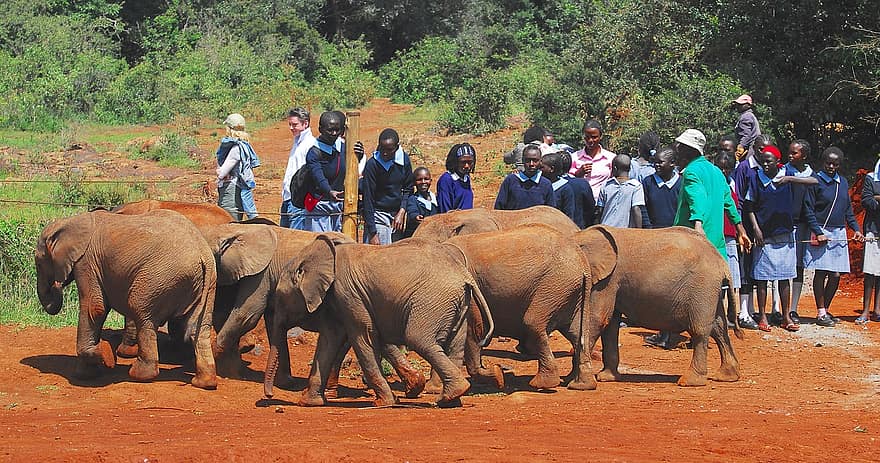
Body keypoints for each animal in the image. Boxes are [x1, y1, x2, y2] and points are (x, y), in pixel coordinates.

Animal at [36, 209, 218, 388]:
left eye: (38, 263)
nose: (57, 284)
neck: (70, 221)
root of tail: (202, 253)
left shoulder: (86, 262)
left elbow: (94, 308)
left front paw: (100, 361)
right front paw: (87, 372)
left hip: (161, 277)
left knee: (141, 313)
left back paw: (139, 375)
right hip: (208, 283)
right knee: (199, 328)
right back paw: (204, 383)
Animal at [262, 237, 496, 408]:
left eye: (280, 297)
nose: (269, 396)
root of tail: (463, 274)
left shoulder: (349, 295)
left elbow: (363, 338)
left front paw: (383, 403)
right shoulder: (337, 300)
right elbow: (329, 341)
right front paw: (308, 402)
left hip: (433, 302)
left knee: (419, 340)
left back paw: (449, 396)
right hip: (458, 304)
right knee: (454, 347)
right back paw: (452, 399)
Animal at [444, 225, 596, 392]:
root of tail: (581, 260)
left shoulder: (468, 291)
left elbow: (473, 330)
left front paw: (497, 377)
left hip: (555, 285)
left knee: (533, 323)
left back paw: (541, 384)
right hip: (571, 291)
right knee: (576, 334)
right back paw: (581, 385)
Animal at [576, 225, 744, 388]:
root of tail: (722, 263)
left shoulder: (608, 280)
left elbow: (597, 319)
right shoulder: (612, 282)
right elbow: (609, 325)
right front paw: (605, 378)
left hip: (702, 288)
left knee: (700, 331)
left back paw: (689, 382)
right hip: (710, 291)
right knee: (719, 328)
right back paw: (726, 377)